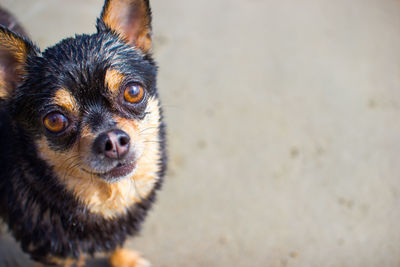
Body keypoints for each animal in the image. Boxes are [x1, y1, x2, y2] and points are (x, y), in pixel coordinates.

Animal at [0, 0, 166, 266]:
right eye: (55, 121)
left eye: (133, 92)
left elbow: (119, 242)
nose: (112, 140)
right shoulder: (54, 255)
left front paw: (124, 259)